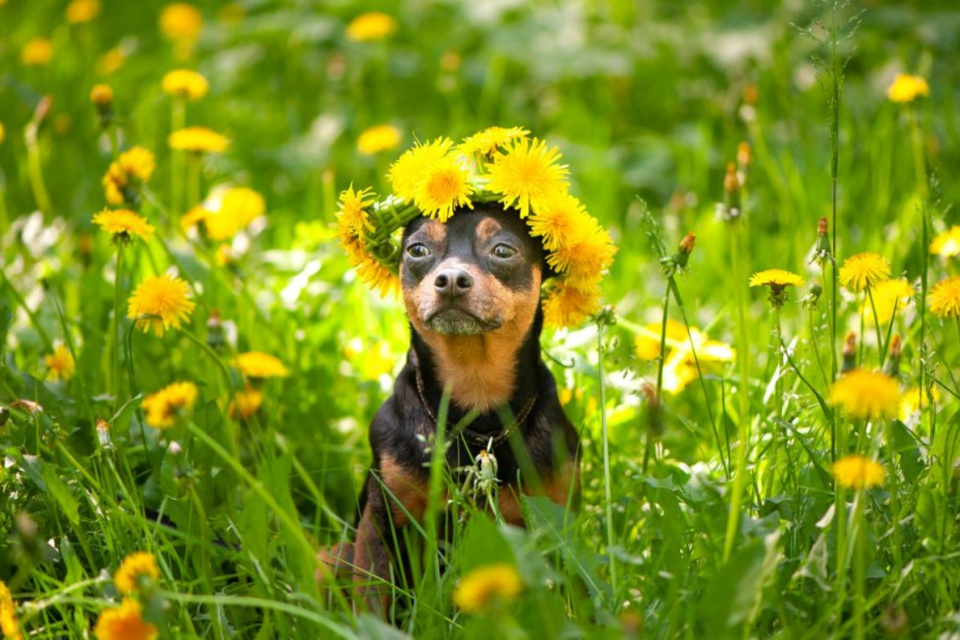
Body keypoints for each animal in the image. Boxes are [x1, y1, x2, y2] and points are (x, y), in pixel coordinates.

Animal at [320, 202, 576, 612]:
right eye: (417, 250)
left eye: (503, 250)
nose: (452, 279)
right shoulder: (382, 522)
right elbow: (374, 600)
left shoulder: (557, 518)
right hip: (330, 555)